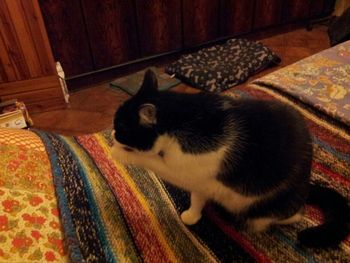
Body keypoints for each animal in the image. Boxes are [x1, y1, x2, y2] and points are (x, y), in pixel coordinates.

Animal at [111, 69, 348, 249]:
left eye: (121, 128)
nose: (112, 134)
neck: (184, 117)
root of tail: (307, 186)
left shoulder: (186, 168)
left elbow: (153, 162)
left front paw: (118, 152)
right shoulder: (201, 180)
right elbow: (197, 196)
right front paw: (193, 215)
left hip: (266, 206)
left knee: (294, 215)